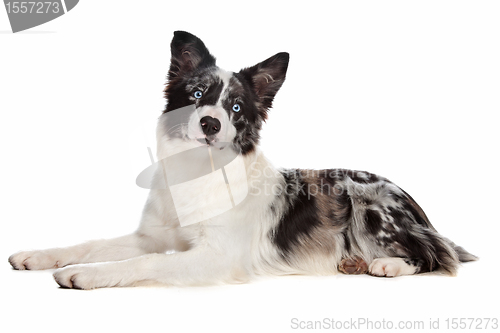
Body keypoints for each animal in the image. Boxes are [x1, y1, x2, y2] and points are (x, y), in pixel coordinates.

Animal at [7, 29, 476, 286]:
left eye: (235, 107)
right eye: (197, 94)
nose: (211, 123)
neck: (199, 172)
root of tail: (416, 205)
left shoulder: (216, 255)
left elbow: (146, 261)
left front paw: (85, 275)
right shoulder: (155, 233)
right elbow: (95, 244)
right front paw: (39, 256)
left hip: (369, 203)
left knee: (436, 255)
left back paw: (386, 265)